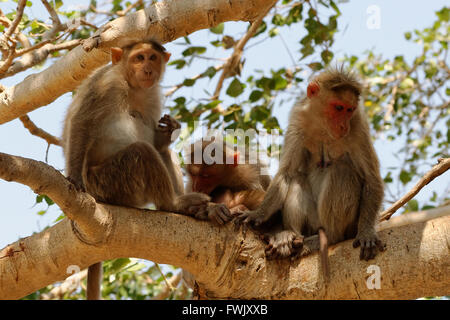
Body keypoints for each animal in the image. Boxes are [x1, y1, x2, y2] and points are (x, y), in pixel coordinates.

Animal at [61, 40, 211, 300]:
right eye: (139, 58)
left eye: (153, 58)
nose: (148, 69)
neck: (133, 87)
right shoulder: (107, 83)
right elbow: (82, 122)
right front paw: (74, 178)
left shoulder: (153, 97)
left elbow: (158, 141)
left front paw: (168, 131)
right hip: (110, 182)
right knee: (142, 151)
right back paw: (173, 204)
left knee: (162, 152)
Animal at [237, 67, 384, 270]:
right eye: (339, 108)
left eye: (350, 110)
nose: (343, 125)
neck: (323, 124)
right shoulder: (298, 118)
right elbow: (287, 173)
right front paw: (258, 214)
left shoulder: (357, 126)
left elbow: (372, 179)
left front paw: (367, 233)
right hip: (313, 223)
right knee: (297, 178)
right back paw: (290, 237)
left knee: (342, 170)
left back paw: (329, 237)